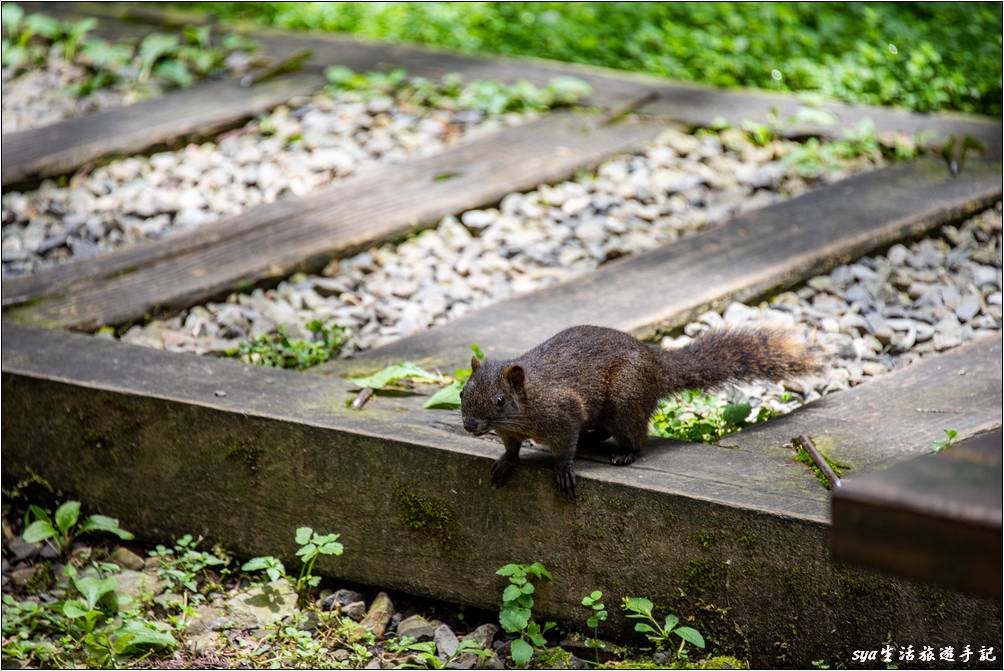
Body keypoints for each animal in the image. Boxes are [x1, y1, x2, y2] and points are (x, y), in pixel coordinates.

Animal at [459, 325, 819, 498]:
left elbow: (564, 447)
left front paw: (563, 469)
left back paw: (624, 453)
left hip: (625, 396)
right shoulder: (509, 431)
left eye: (500, 401)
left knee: (636, 436)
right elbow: (511, 447)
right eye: (462, 392)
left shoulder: (564, 411)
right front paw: (506, 462)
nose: (469, 425)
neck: (528, 401)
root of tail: (658, 366)